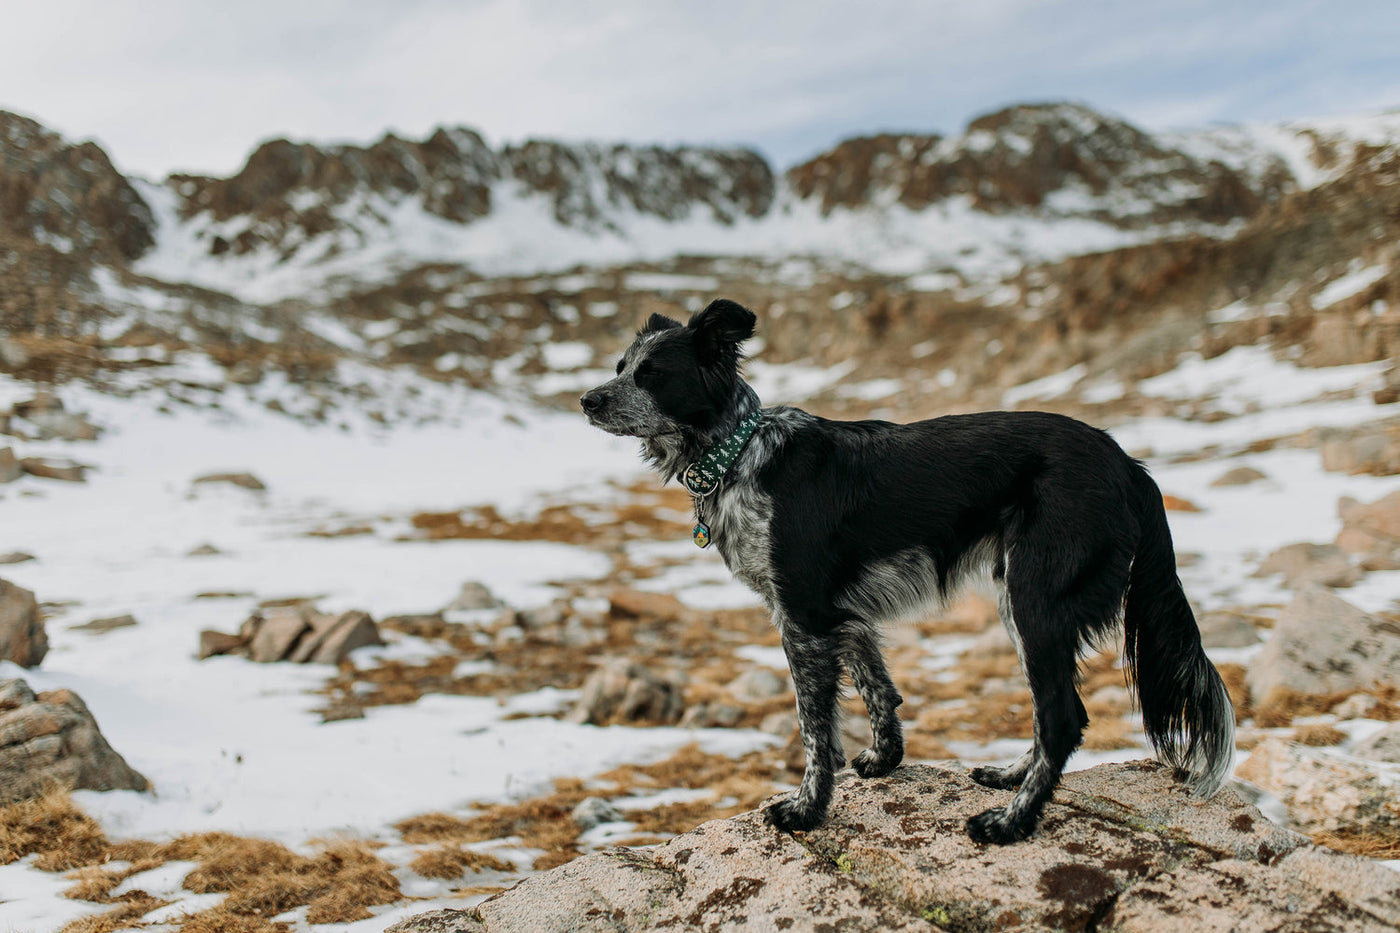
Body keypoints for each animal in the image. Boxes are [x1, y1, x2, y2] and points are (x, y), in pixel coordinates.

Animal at [579, 298, 1237, 840]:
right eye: (619, 366)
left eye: (651, 374)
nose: (587, 400)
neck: (740, 453)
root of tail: (1128, 463)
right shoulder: (839, 616)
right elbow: (877, 686)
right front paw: (884, 760)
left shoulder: (802, 617)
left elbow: (815, 728)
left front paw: (806, 810)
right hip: (1016, 597)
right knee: (1048, 710)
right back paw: (1009, 779)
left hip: (1036, 597)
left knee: (1062, 718)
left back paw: (1011, 823)